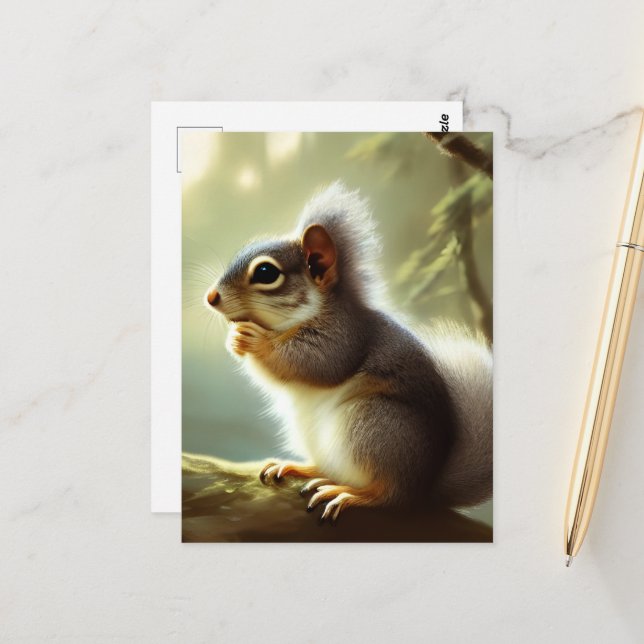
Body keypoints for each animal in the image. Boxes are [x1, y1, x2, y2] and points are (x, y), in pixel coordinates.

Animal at [205, 182, 492, 523]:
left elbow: (317, 363)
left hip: (376, 425)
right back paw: (300, 468)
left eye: (265, 272)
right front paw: (235, 339)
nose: (211, 297)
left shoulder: (345, 335)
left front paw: (254, 340)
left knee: (390, 494)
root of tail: (424, 488)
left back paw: (351, 495)